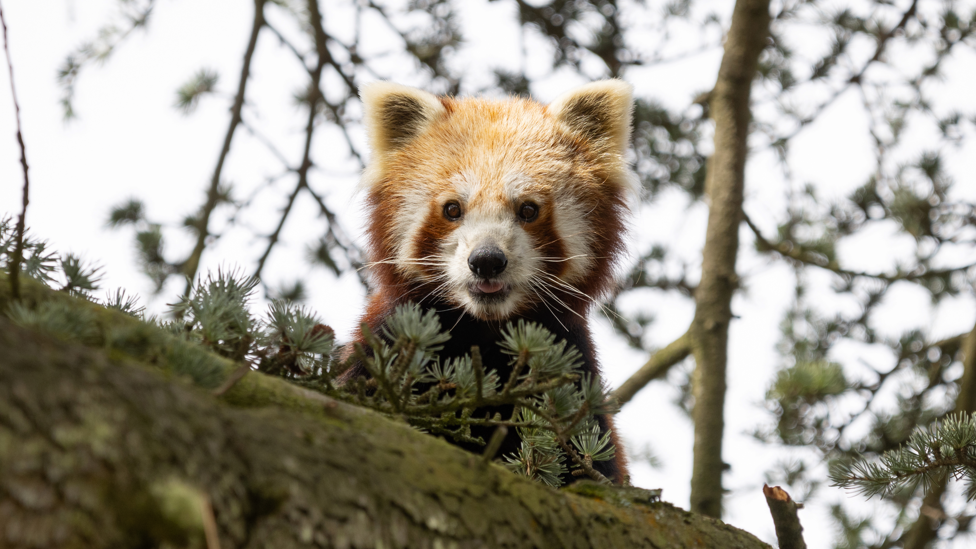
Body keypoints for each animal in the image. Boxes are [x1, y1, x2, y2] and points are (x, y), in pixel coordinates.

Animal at [346, 78, 640, 484]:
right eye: (452, 209)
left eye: (528, 210)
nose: (486, 261)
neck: (484, 333)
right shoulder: (385, 348)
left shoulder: (572, 378)